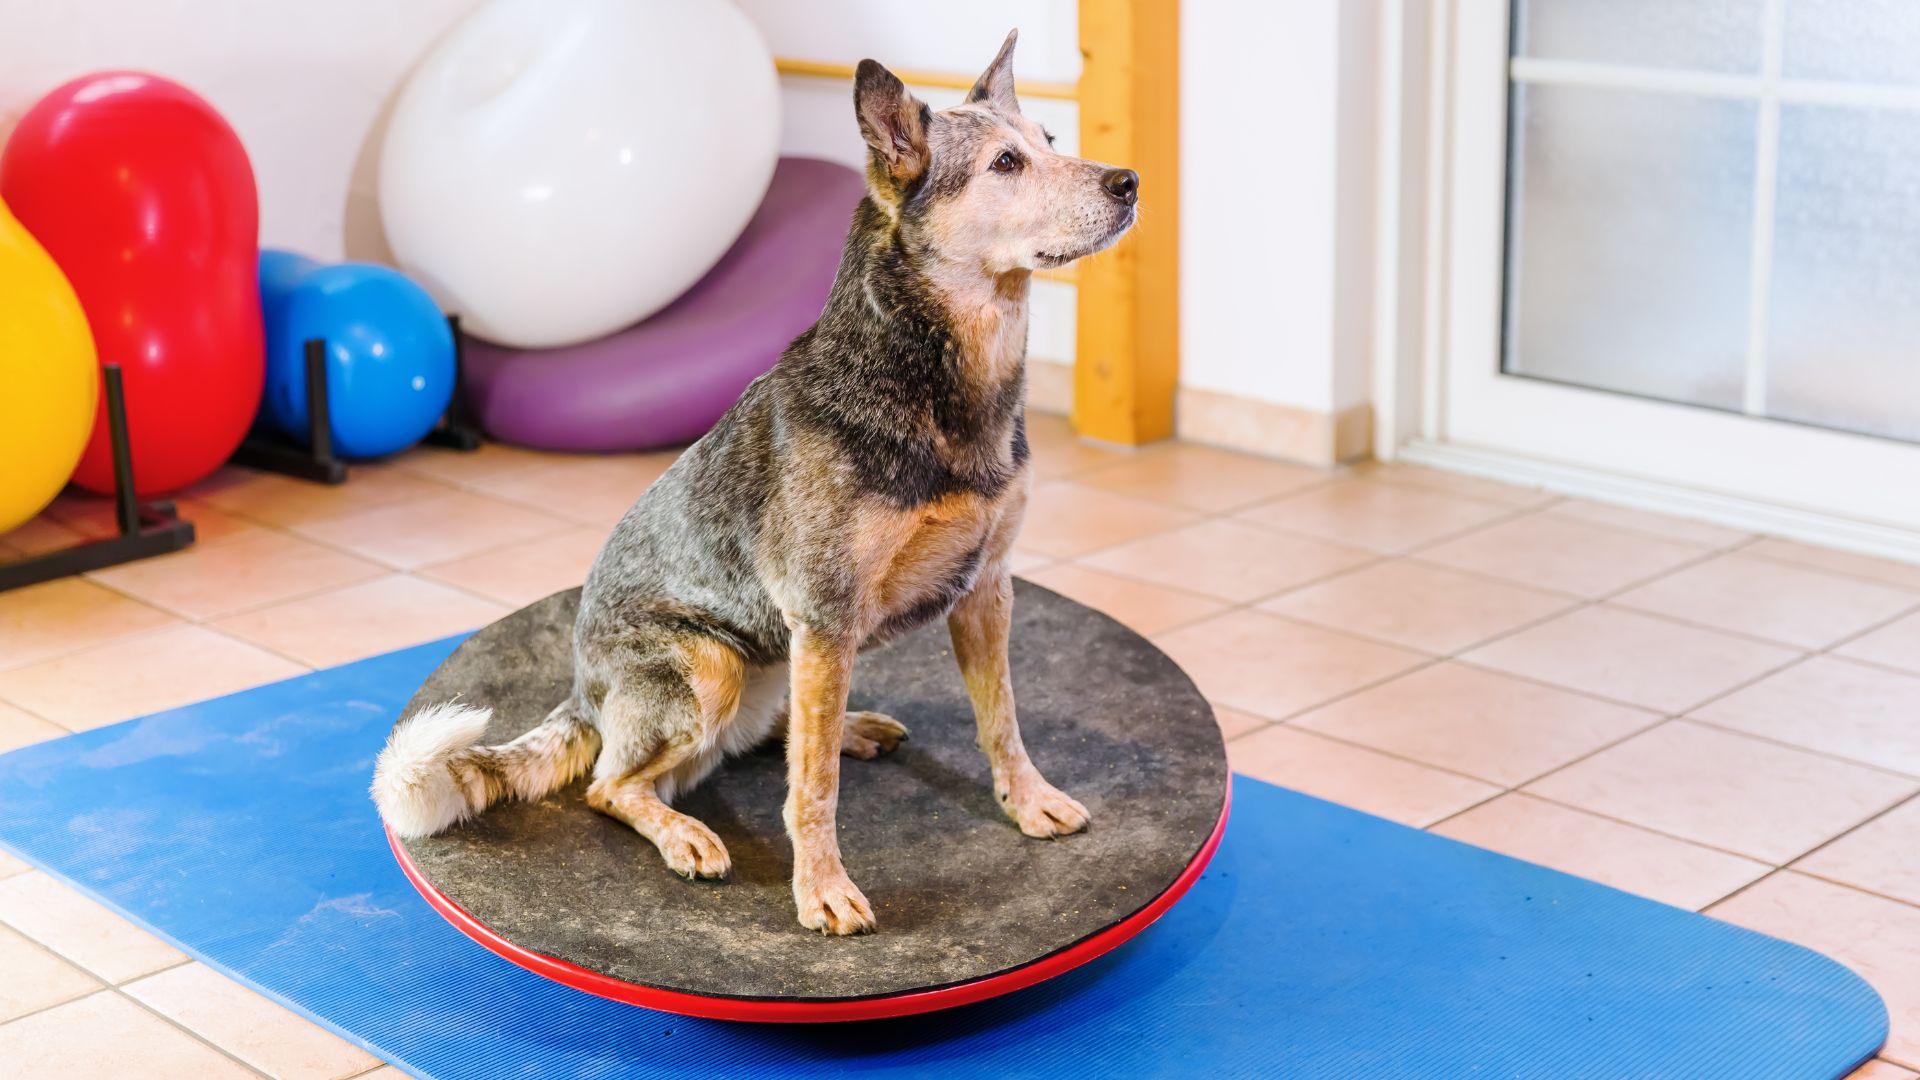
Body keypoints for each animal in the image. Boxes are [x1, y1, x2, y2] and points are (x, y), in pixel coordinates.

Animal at [366, 29, 1128, 930]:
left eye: (1051, 139)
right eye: (1005, 164)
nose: (1129, 182)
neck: (942, 382)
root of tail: (582, 694)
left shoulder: (986, 588)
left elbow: (1001, 720)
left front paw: (1027, 800)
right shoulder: (827, 616)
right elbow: (814, 790)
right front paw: (822, 888)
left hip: (780, 663)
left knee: (777, 732)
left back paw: (846, 728)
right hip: (712, 667)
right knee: (613, 785)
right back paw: (684, 833)